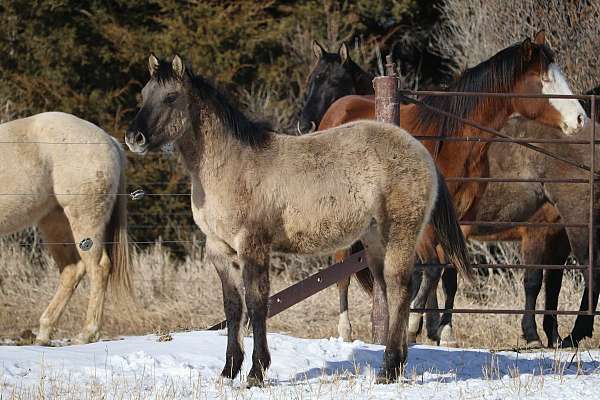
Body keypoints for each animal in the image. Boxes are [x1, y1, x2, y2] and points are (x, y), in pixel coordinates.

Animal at [126, 55, 474, 384]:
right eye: (143, 94)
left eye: (171, 97)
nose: (134, 137)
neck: (232, 165)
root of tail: (420, 150)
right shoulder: (219, 249)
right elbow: (233, 306)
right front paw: (228, 371)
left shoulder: (253, 245)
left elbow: (257, 304)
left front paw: (256, 373)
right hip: (376, 242)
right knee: (391, 290)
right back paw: (394, 366)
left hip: (400, 234)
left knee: (401, 288)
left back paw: (389, 369)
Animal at [304, 30, 584, 344]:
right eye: (543, 79)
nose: (579, 118)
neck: (450, 143)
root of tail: (335, 113)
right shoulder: (424, 223)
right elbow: (430, 271)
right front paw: (414, 328)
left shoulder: (457, 220)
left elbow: (447, 275)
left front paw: (437, 331)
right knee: (342, 269)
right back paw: (345, 330)